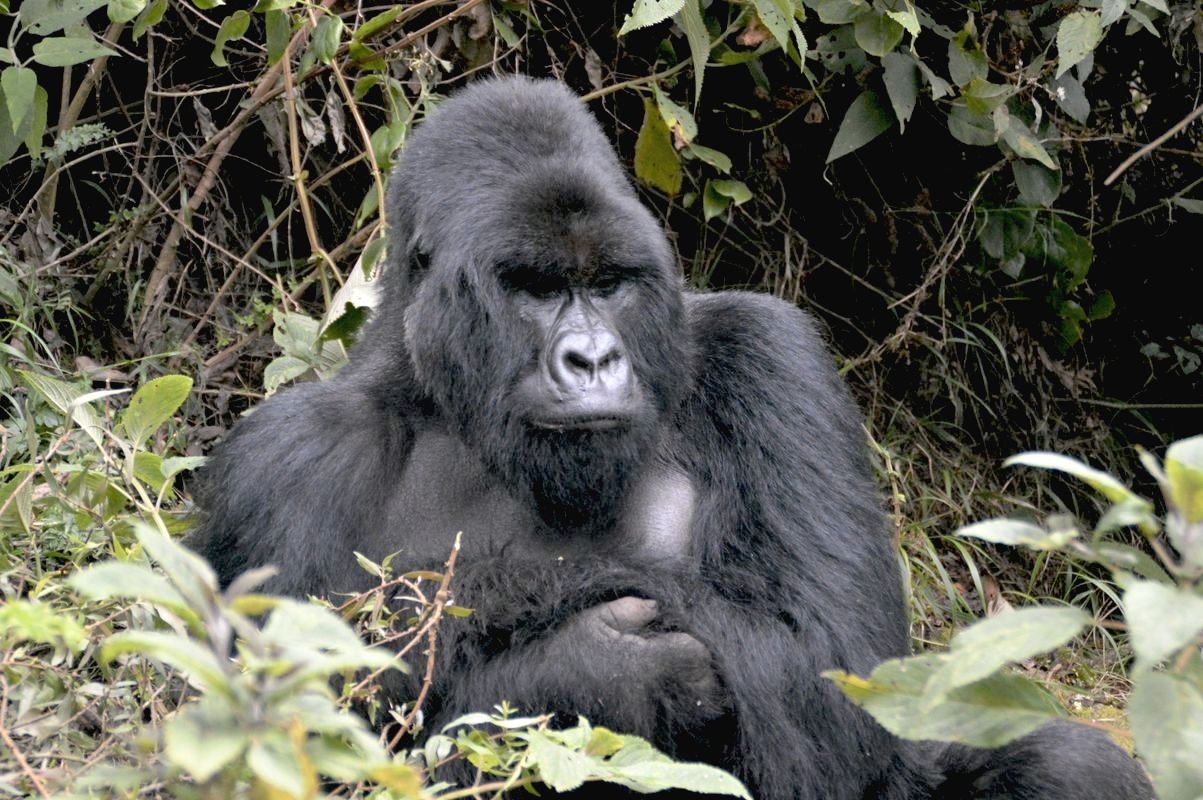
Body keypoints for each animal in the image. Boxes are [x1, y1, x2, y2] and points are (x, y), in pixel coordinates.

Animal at [192, 76, 1150, 798]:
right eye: (534, 288)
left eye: (609, 283)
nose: (590, 357)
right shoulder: (282, 462)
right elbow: (289, 724)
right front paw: (590, 661)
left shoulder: (767, 358)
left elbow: (835, 670)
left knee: (1067, 762)